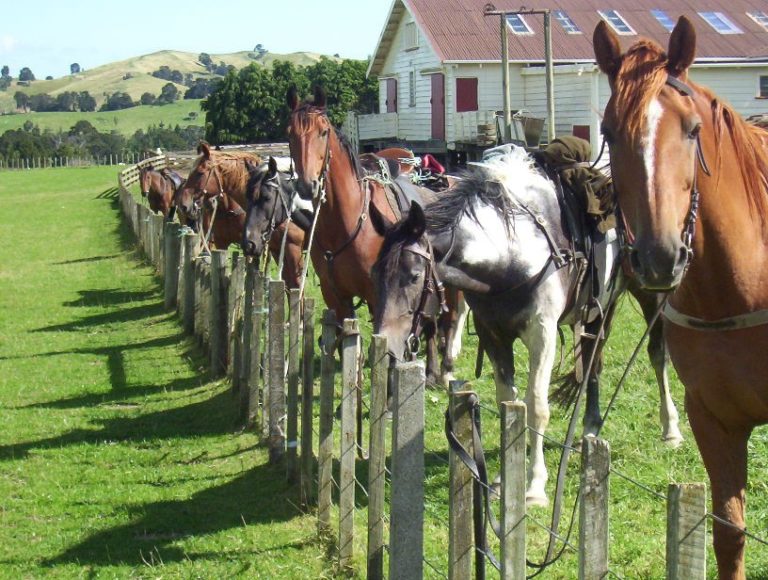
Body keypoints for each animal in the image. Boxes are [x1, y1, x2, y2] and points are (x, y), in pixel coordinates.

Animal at [372, 146, 684, 508]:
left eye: (412, 276)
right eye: (375, 273)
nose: (388, 345)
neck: (512, 254)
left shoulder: (542, 332)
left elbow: (536, 405)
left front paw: (535, 485)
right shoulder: (494, 334)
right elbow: (508, 402)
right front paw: (504, 476)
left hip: (650, 294)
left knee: (657, 354)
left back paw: (671, 429)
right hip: (599, 310)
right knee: (593, 363)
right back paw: (589, 432)